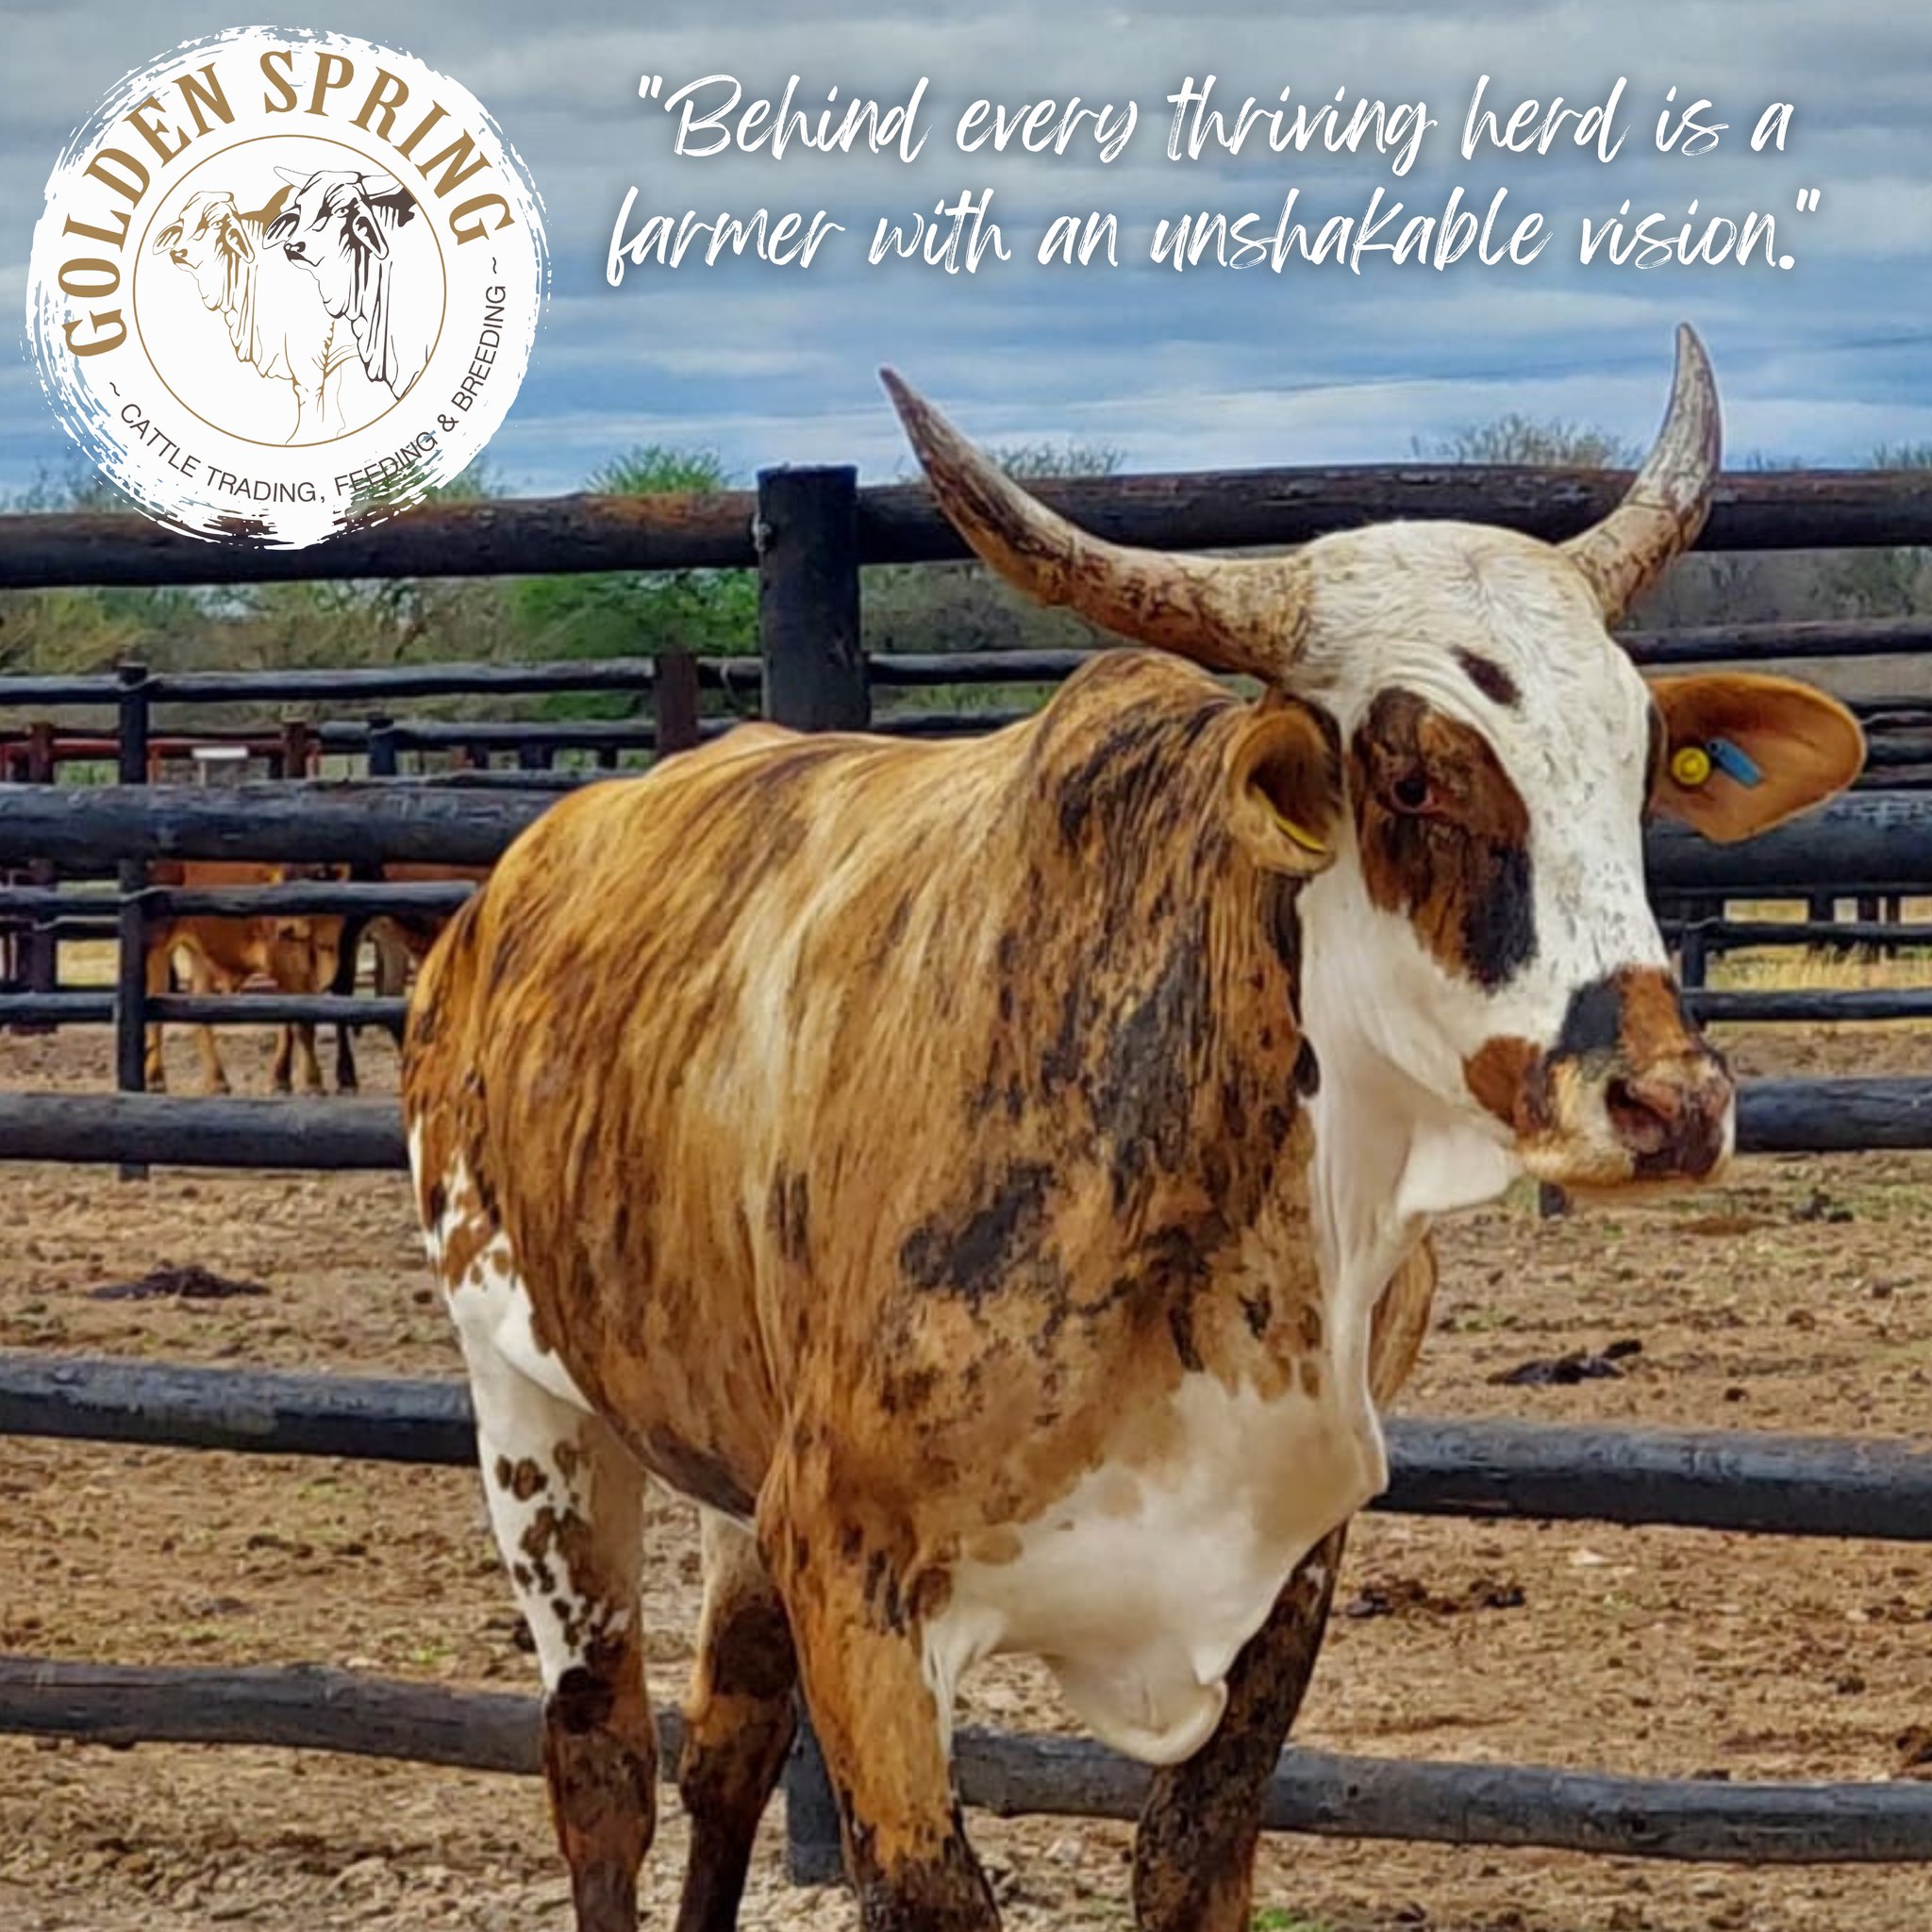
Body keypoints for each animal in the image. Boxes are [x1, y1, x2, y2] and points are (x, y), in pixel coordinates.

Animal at [144, 861, 346, 1096]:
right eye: (281, 881)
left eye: (313, 877)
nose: (285, 928)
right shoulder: (286, 966)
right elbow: (303, 1025)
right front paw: (313, 1083)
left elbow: (293, 1022)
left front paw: (284, 1081)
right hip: (157, 943)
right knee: (155, 1008)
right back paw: (155, 1079)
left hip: (201, 954)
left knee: (199, 1009)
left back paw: (217, 1081)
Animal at [149, 189, 366, 442]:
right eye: (183, 222)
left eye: (216, 224)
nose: (179, 252)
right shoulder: (330, 349)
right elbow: (331, 389)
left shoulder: (305, 346)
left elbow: (309, 393)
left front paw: (301, 439)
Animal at [399, 329, 1864, 1932]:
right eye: (1414, 776)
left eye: (1644, 758)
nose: (1669, 1103)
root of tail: (504, 891)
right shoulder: (852, 1571)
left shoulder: (1290, 1563)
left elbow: (1191, 1856)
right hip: (529, 1409)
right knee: (600, 1760)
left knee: (729, 1740)